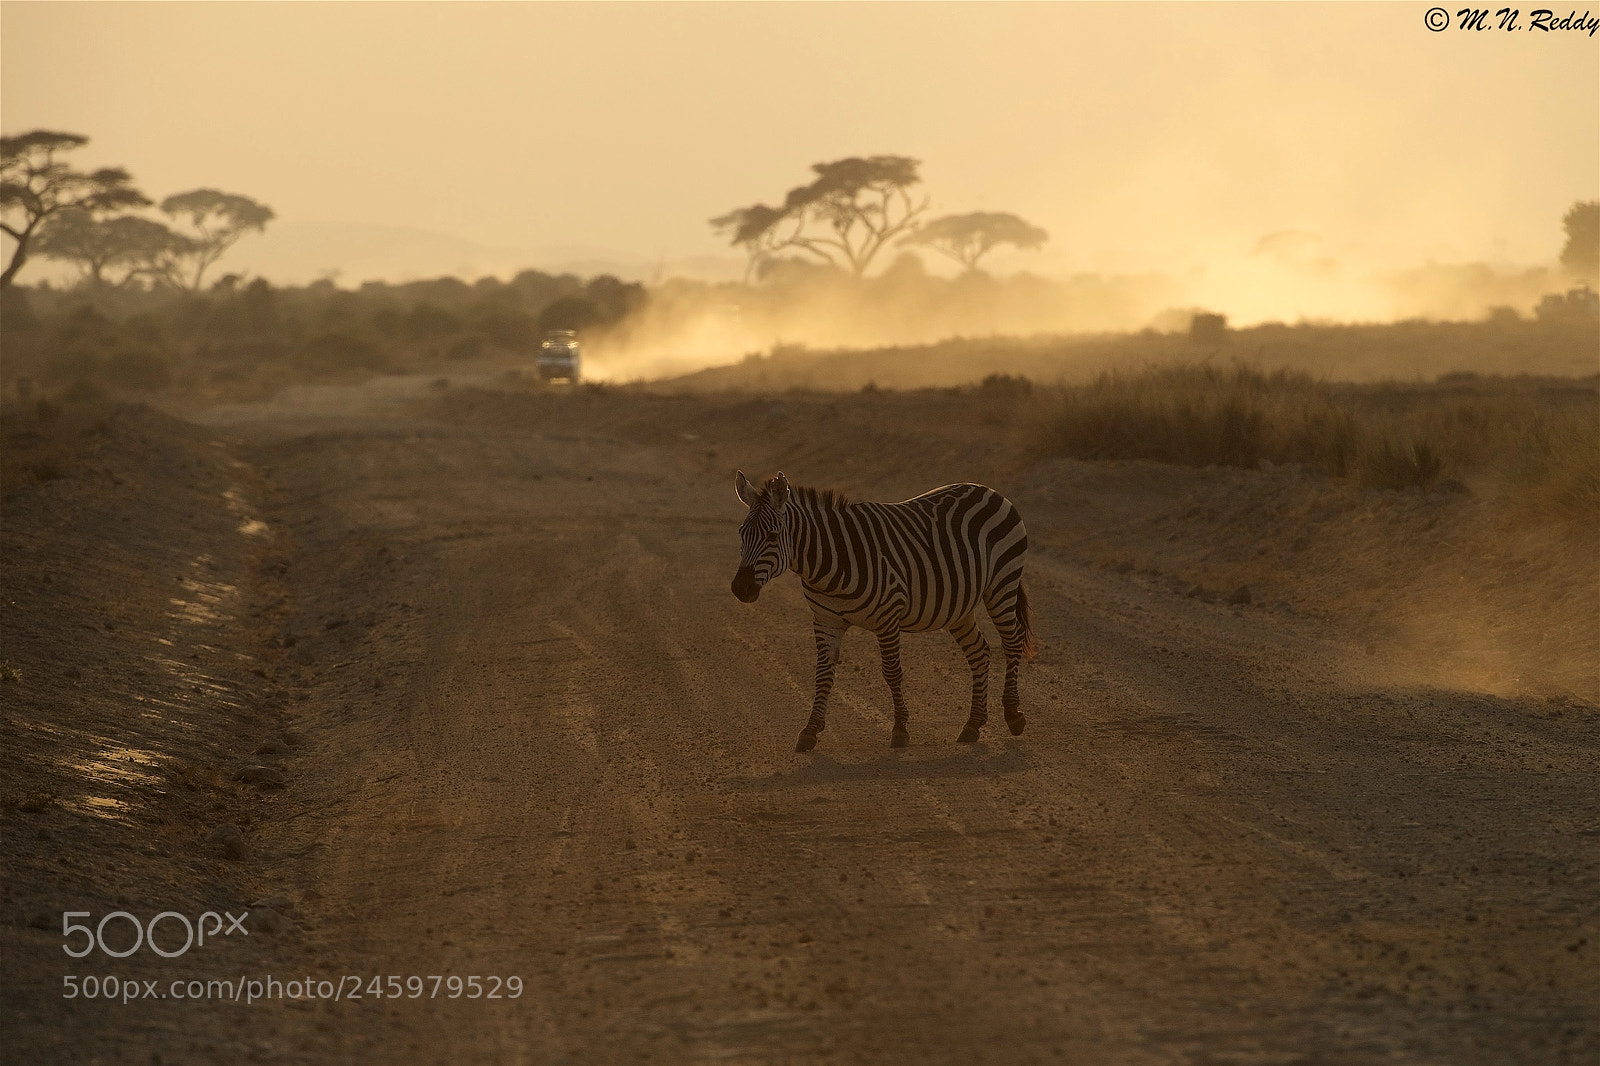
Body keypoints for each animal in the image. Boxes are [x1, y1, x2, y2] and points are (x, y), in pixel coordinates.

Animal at [731, 471, 1035, 752]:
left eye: (772, 535)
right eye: (741, 533)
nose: (739, 589)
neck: (831, 563)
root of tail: (988, 489)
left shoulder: (887, 616)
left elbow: (892, 672)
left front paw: (900, 729)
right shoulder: (826, 621)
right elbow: (822, 673)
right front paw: (810, 730)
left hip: (1002, 583)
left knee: (1011, 642)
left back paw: (1013, 715)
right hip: (958, 606)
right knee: (979, 652)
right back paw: (973, 724)